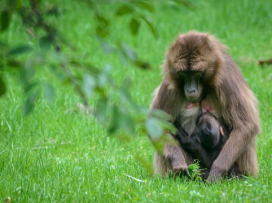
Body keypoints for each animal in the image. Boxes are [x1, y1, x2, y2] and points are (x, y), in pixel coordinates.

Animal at [151, 31, 260, 182]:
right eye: (184, 74)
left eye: (196, 74)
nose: (191, 90)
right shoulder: (170, 81)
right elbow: (158, 123)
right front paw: (178, 162)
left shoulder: (226, 77)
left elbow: (246, 125)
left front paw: (217, 171)